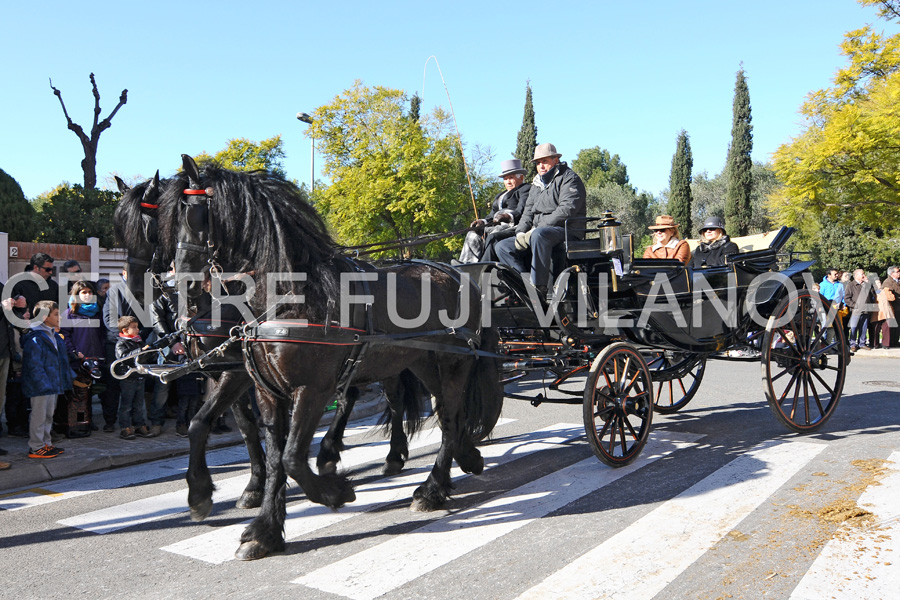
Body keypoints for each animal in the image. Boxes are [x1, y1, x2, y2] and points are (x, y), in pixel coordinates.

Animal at [162, 155, 506, 556]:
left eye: (194, 216)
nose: (177, 285)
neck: (290, 295)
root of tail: (457, 275)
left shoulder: (312, 388)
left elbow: (293, 457)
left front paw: (335, 491)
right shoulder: (263, 389)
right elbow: (267, 452)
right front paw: (261, 527)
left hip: (453, 361)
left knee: (448, 416)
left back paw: (432, 489)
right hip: (421, 362)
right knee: (442, 411)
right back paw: (464, 458)